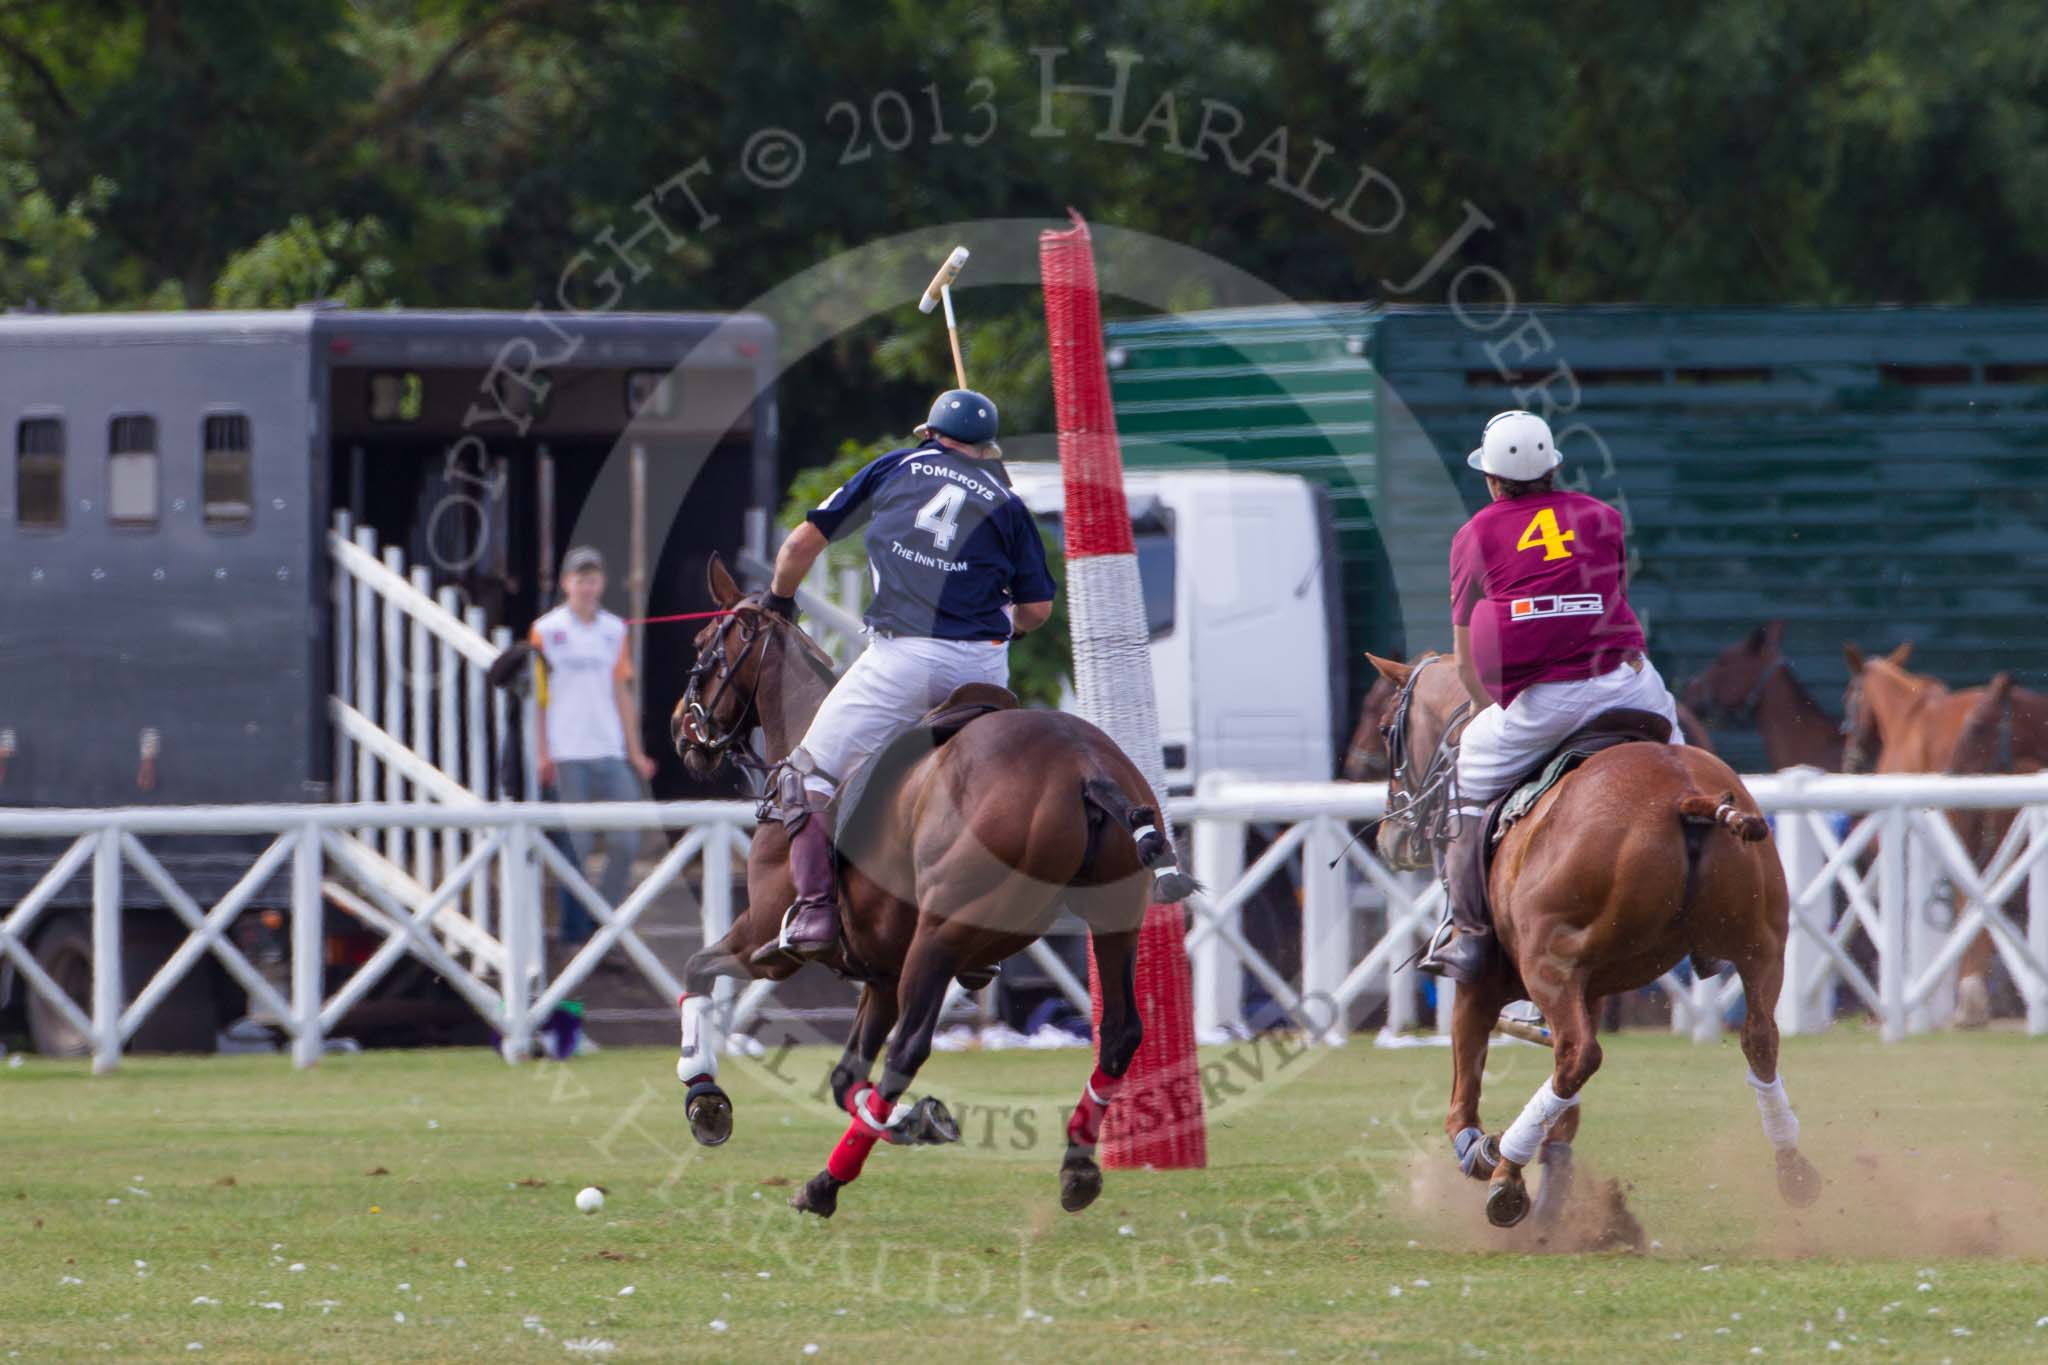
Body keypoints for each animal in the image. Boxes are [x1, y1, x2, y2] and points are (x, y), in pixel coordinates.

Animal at [671, 556, 1187, 1219]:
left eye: (702, 646)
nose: (682, 734)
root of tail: (1085, 765)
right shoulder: (880, 974)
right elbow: (845, 1076)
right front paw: (900, 1131)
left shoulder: (765, 941)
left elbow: (697, 970)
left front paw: (705, 1099)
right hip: (1111, 918)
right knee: (1120, 1033)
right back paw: (1076, 1168)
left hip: (941, 935)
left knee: (908, 1052)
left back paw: (846, 1168)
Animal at [1359, 650, 1826, 1227]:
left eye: (1386, 728)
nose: (1390, 837)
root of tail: (1686, 795)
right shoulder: (1595, 984)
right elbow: (1565, 1113)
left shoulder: (1486, 979)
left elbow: (1464, 1083)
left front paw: (1480, 1150)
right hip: (1761, 947)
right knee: (1759, 1039)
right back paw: (1792, 1166)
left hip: (1547, 966)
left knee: (1577, 1054)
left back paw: (1507, 1174)